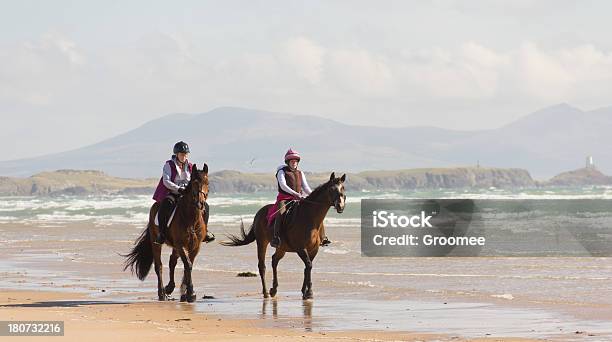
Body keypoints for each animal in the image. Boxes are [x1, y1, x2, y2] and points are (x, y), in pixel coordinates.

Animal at [123, 163, 209, 302]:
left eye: (207, 182)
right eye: (194, 183)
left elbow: (188, 265)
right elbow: (188, 265)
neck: (190, 219)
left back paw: (170, 288)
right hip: (157, 243)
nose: (200, 204)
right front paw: (191, 293)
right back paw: (162, 293)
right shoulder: (180, 244)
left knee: (172, 262)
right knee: (159, 266)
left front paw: (185, 293)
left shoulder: (195, 246)